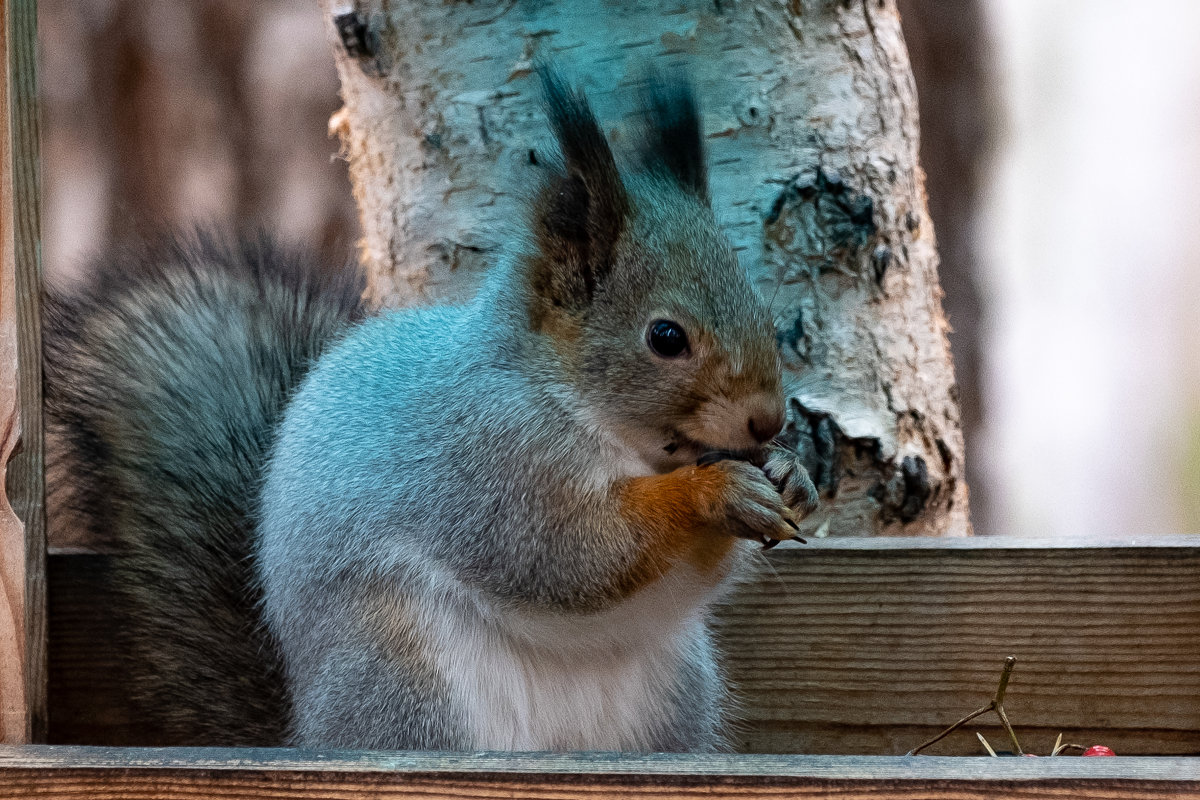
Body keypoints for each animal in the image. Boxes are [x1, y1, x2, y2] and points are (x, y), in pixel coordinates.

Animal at [44, 68, 816, 753]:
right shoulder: (485, 457)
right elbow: (568, 551)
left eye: (763, 309)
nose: (768, 422)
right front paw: (712, 492)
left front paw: (791, 477)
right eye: (665, 337)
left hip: (675, 698)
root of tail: (308, 737)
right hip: (408, 678)